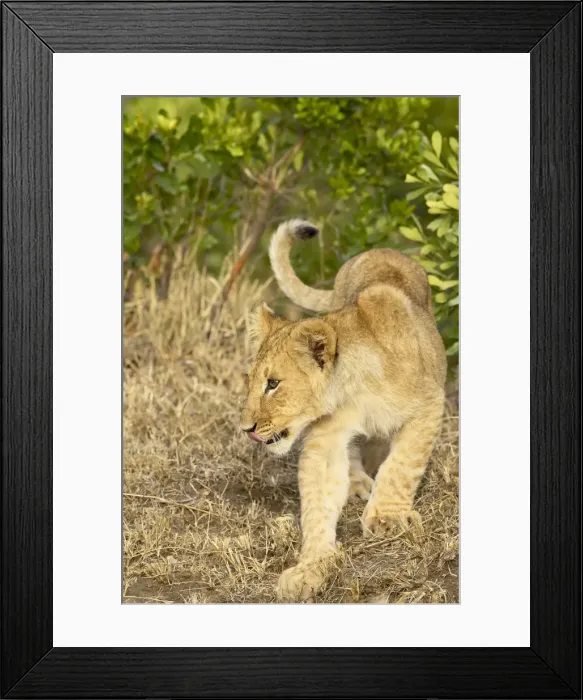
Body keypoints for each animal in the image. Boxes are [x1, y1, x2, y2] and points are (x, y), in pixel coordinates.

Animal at [240, 219, 447, 601]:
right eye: (254, 381)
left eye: (273, 383)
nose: (246, 428)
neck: (356, 390)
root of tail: (379, 250)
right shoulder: (326, 436)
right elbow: (317, 501)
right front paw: (311, 566)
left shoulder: (429, 403)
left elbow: (402, 464)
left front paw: (387, 519)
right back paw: (356, 484)